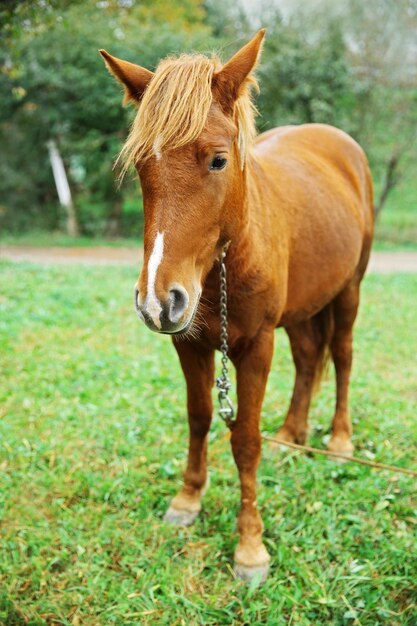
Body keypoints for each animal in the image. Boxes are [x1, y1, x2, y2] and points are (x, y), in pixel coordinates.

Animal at [100, 30, 374, 580]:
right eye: (141, 165)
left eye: (218, 160)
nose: (158, 300)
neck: (224, 264)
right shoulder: (189, 346)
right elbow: (199, 416)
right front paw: (187, 499)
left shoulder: (256, 346)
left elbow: (245, 440)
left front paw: (250, 545)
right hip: (304, 306)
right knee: (309, 357)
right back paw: (292, 434)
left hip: (349, 289)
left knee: (342, 355)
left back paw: (338, 441)